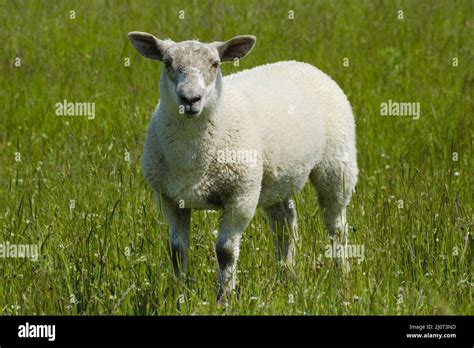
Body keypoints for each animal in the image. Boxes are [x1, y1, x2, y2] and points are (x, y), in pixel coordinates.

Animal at [128, 32, 358, 302]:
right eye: (167, 63)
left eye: (215, 64)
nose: (190, 99)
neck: (192, 160)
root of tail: (303, 64)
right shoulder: (170, 199)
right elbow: (177, 250)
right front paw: (177, 295)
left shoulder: (241, 196)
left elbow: (225, 251)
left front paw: (224, 298)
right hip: (275, 179)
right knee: (285, 225)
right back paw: (286, 276)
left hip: (337, 164)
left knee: (336, 226)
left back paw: (342, 275)